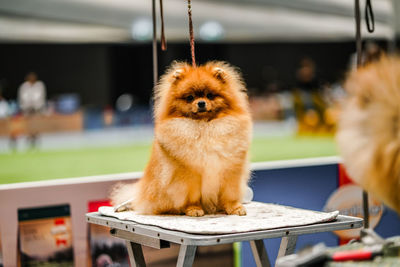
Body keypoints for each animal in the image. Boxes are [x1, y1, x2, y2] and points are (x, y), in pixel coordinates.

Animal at [111, 61, 252, 217]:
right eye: (190, 97)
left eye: (210, 95)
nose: (201, 103)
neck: (204, 127)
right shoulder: (188, 175)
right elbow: (191, 196)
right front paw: (194, 209)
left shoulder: (230, 171)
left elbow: (230, 194)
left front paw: (235, 208)